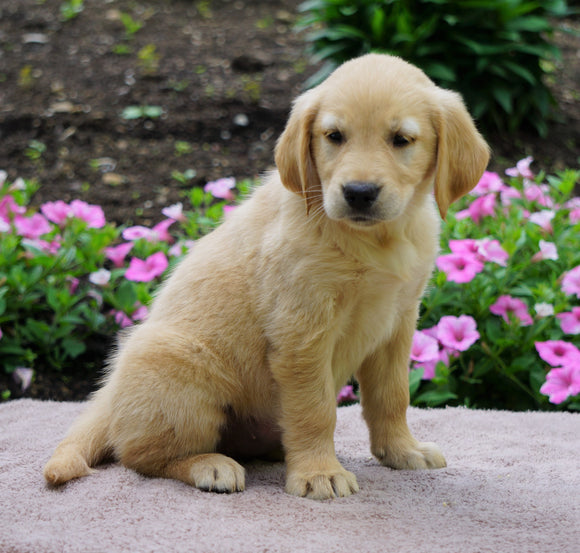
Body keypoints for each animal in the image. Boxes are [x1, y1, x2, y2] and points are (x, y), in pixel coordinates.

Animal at [44, 55, 490, 500]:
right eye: (334, 136)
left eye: (401, 139)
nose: (359, 193)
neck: (375, 239)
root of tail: (110, 398)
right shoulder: (302, 331)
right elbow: (316, 409)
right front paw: (319, 472)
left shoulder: (398, 321)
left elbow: (392, 396)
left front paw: (401, 450)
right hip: (180, 368)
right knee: (140, 455)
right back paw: (209, 465)